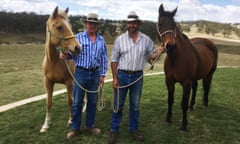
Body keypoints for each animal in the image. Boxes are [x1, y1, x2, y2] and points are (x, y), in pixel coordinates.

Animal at [157, 3, 218, 132]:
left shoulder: (186, 82)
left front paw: (184, 126)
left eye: (174, 25)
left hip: (209, 73)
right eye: (160, 24)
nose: (170, 46)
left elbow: (183, 103)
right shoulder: (169, 81)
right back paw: (192, 106)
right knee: (195, 87)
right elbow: (170, 100)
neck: (176, 58)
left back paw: (205, 103)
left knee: (206, 86)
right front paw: (168, 119)